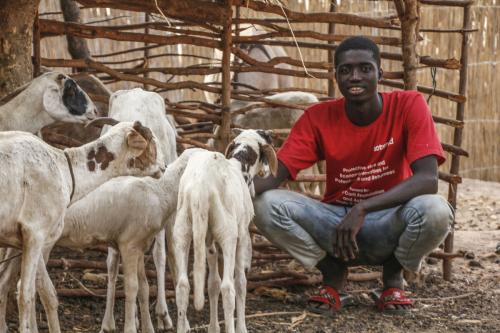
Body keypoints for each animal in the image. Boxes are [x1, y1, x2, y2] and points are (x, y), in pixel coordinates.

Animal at [0, 119, 164, 332]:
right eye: (152, 141)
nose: (164, 166)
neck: (63, 170)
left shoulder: (30, 241)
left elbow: (48, 293)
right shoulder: (35, 233)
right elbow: (26, 294)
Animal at [99, 87, 178, 330]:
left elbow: (158, 255)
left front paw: (158, 316)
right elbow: (113, 263)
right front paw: (109, 322)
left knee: (163, 254)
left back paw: (164, 315)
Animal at [174, 128, 280, 332]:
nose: (265, 173)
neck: (239, 167)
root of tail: (201, 188)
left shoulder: (209, 243)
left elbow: (212, 284)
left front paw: (213, 327)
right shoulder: (243, 237)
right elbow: (240, 283)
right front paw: (241, 327)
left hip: (183, 229)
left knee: (182, 286)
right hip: (228, 234)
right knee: (228, 287)